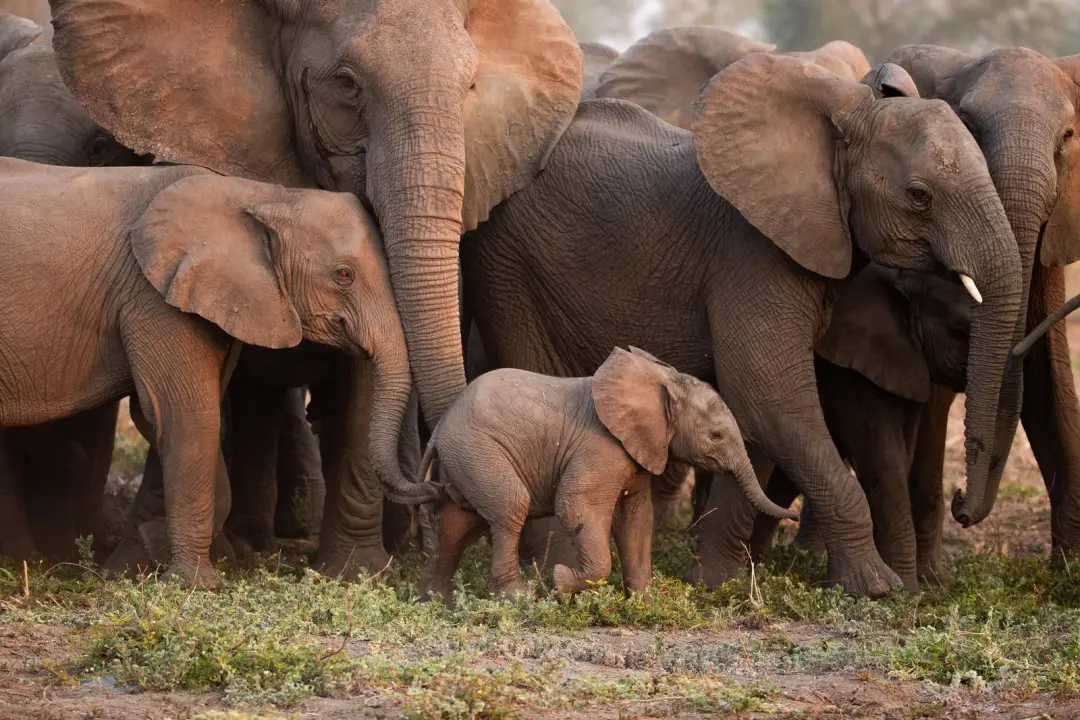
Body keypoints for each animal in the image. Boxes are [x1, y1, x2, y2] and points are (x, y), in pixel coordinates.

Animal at [0, 157, 425, 587]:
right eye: (344, 275)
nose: (430, 488)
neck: (263, 194)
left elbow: (175, 416)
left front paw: (156, 547)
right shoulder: (155, 298)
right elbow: (188, 416)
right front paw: (193, 582)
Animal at [47, 0, 583, 572]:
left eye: (471, 86)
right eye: (347, 85)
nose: (437, 501)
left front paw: (356, 570)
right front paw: (134, 564)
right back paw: (242, 547)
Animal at [414, 346, 796, 601]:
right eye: (716, 435)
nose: (792, 513)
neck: (661, 380)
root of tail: (441, 427)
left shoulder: (638, 452)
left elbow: (637, 518)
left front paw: (643, 603)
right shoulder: (601, 448)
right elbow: (576, 506)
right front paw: (561, 581)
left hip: (467, 459)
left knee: (459, 524)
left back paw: (435, 599)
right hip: (478, 450)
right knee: (509, 507)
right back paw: (517, 598)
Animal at [460, 54, 1024, 598]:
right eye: (919, 195)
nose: (961, 503)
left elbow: (751, 418)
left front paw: (714, 582)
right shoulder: (753, 256)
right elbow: (771, 400)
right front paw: (874, 589)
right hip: (509, 267)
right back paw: (545, 566)